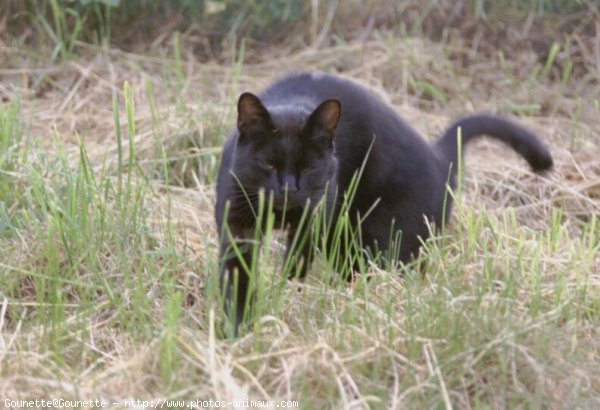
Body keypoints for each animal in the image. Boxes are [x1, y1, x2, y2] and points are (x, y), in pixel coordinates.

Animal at [217, 72, 552, 332]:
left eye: (308, 168)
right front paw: (237, 330)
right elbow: (237, 281)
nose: (288, 189)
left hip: (384, 243)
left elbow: (293, 269)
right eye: (268, 164)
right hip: (347, 243)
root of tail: (440, 158)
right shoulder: (237, 230)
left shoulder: (309, 227)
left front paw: (287, 299)